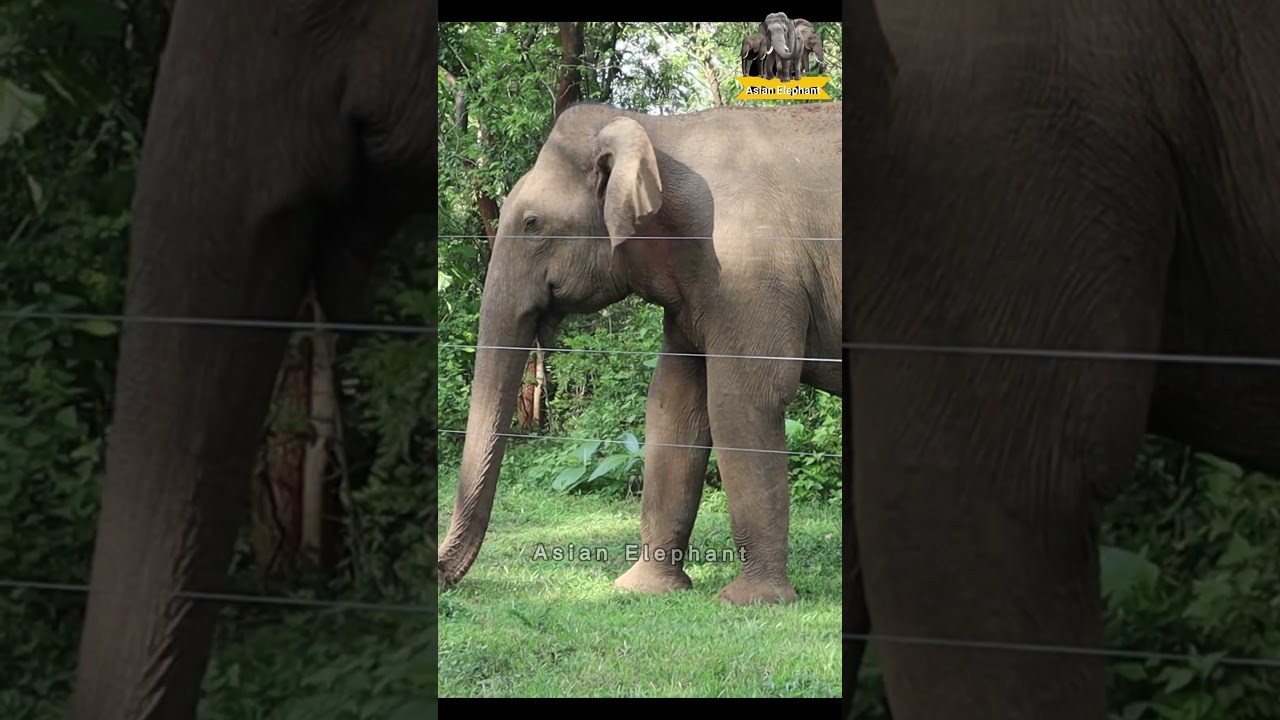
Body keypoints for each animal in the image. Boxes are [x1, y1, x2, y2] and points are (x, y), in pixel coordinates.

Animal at [437, 100, 842, 606]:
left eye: (532, 224)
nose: (441, 574)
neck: (661, 129)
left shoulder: (750, 272)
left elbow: (744, 400)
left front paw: (752, 601)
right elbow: (672, 403)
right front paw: (643, 588)